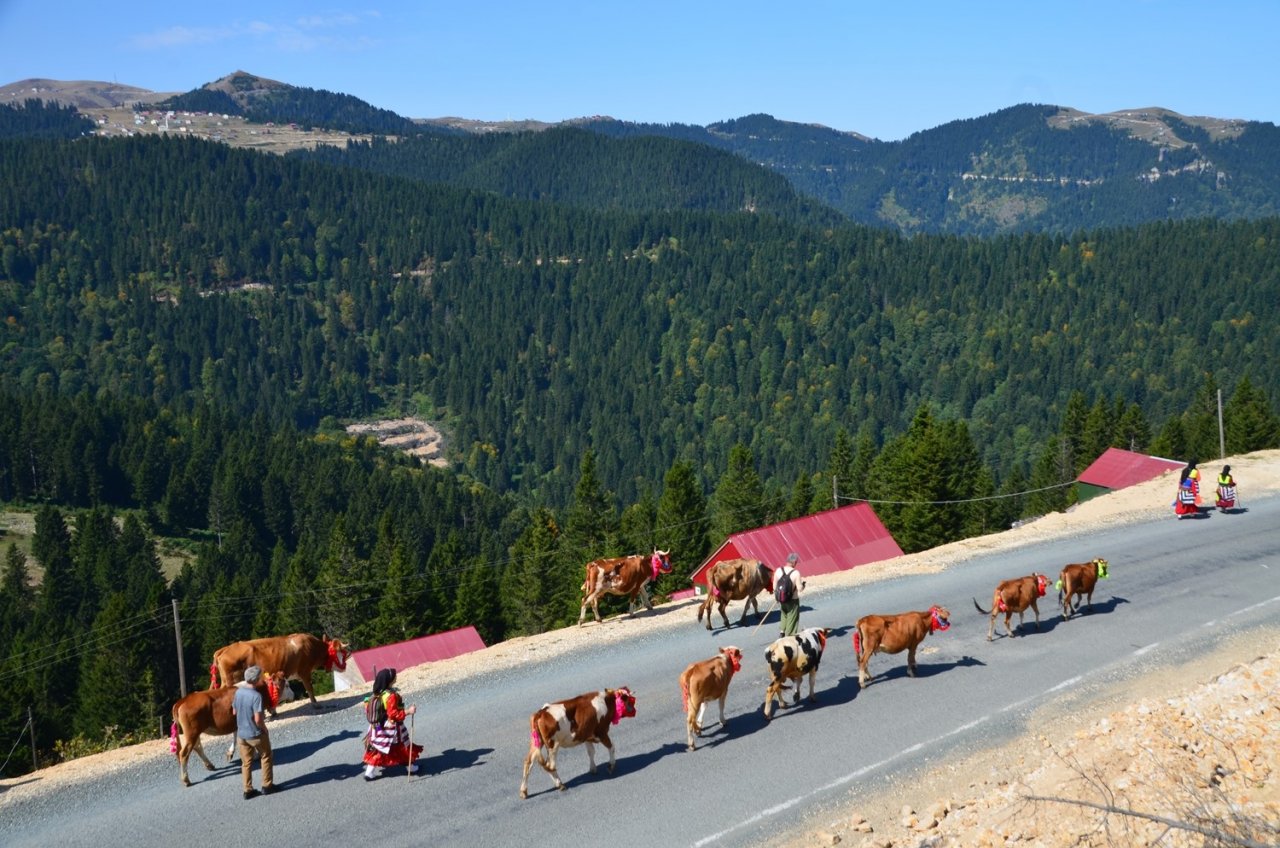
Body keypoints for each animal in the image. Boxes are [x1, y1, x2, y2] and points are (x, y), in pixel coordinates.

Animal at [209, 635, 350, 707]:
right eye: (340, 651)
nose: (345, 665)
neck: (312, 647)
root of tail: (225, 649)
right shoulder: (304, 671)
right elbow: (309, 688)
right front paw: (315, 704)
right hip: (230, 680)